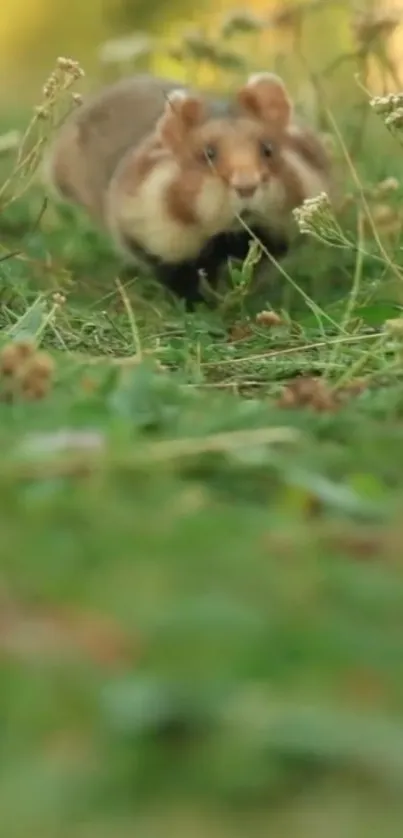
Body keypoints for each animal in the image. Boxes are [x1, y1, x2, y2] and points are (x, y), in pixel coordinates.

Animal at [44, 72, 331, 308]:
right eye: (208, 154)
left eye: (268, 149)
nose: (246, 186)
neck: (227, 235)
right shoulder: (159, 246)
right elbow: (182, 281)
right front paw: (204, 305)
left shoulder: (272, 237)